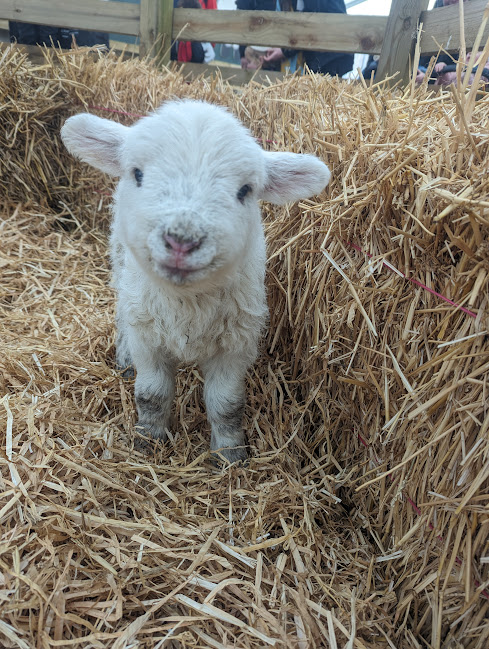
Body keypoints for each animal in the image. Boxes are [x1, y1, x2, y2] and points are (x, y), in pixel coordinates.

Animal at [61, 100, 330, 463]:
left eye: (245, 191)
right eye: (138, 174)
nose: (182, 241)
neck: (186, 303)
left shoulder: (236, 345)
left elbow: (228, 404)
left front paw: (230, 456)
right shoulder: (149, 338)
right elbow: (151, 395)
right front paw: (147, 443)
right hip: (122, 266)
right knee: (121, 312)